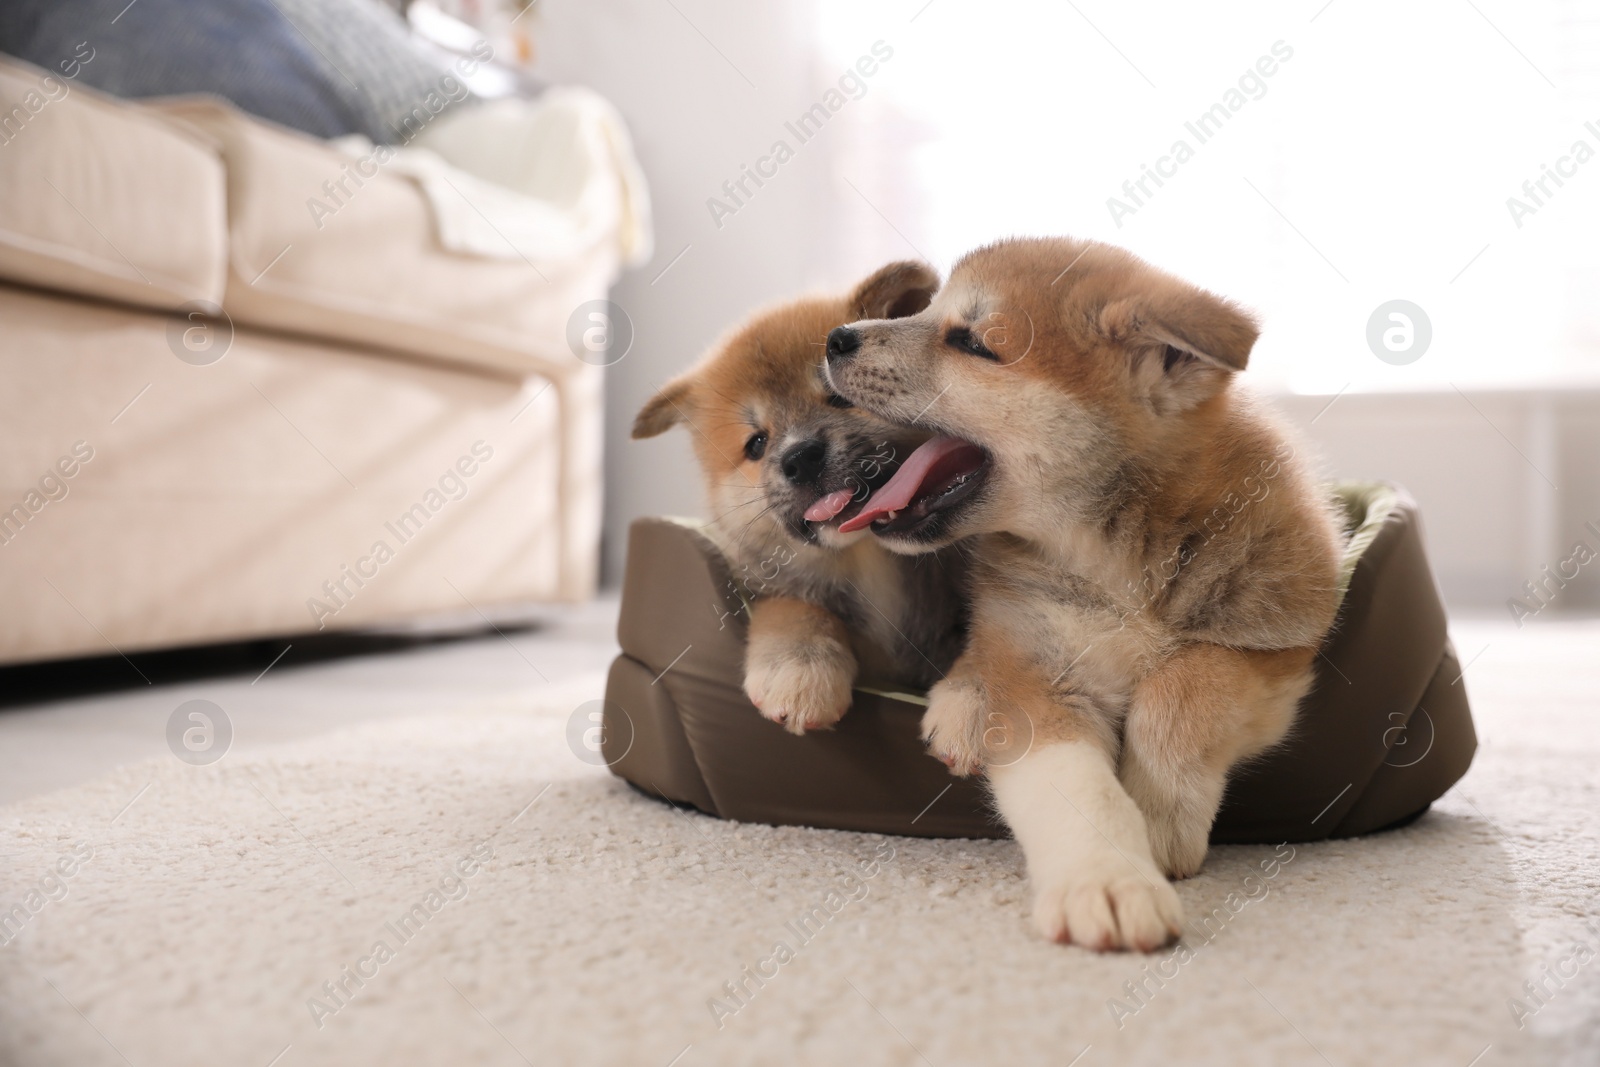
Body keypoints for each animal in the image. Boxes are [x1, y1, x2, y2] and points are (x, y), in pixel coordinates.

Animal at [630, 262, 966, 739]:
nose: (801, 458)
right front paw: (800, 670)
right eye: (756, 444)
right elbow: (795, 609)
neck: (867, 559)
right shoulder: (771, 583)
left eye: (842, 397)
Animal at [819, 235, 1344, 953]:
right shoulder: (1040, 681)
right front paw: (1109, 880)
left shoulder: (1279, 643)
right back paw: (962, 702)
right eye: (926, 309)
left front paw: (1159, 815)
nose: (835, 336)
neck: (1117, 562)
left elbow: (1182, 685)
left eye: (972, 341)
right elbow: (1078, 789)